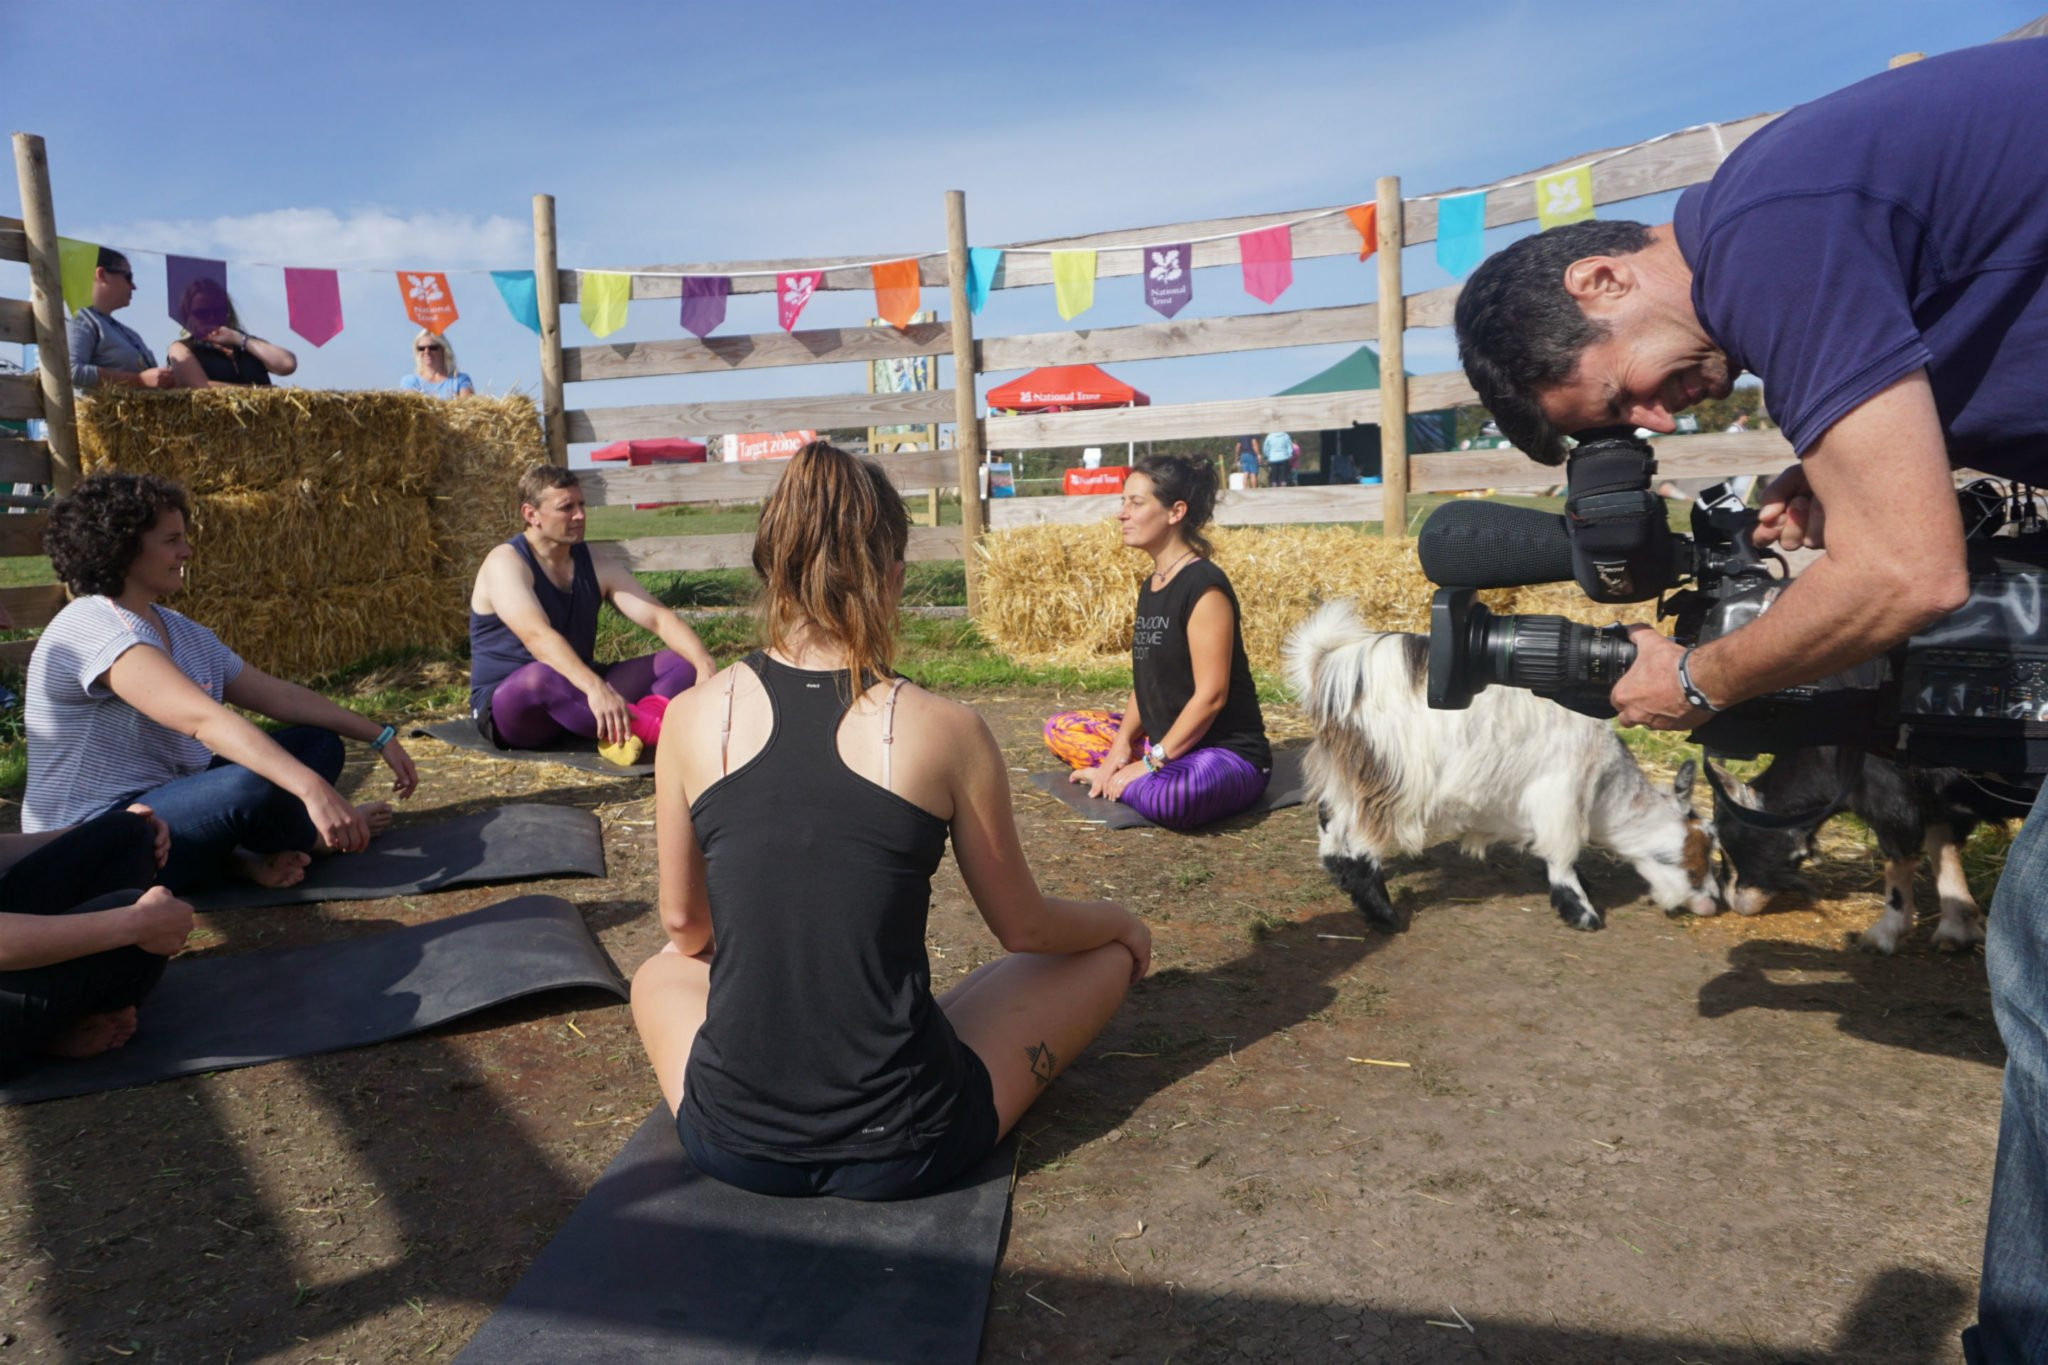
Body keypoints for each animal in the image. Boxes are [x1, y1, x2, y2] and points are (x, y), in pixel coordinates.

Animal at [1286, 601, 1720, 933]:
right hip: (1388, 780)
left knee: (1330, 819)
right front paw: (1581, 912)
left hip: (1346, 774)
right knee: (1360, 841)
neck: (1604, 786)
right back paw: (1385, 916)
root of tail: (1327, 666)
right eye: (1695, 860)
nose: (1713, 904)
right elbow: (1562, 856)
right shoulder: (1559, 799)